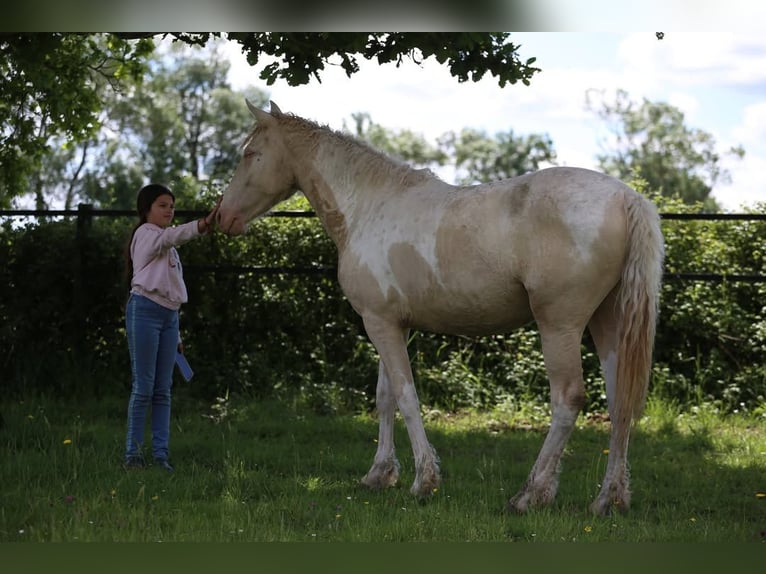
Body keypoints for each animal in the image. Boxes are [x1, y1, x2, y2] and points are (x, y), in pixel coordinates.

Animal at [217, 100, 664, 515]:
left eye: (251, 153)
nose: (222, 217)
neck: (369, 206)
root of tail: (626, 197)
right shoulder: (392, 324)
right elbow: (385, 397)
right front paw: (380, 474)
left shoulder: (379, 324)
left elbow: (406, 397)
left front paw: (424, 481)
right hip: (608, 324)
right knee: (620, 402)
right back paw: (608, 500)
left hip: (560, 326)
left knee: (568, 399)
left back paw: (531, 494)